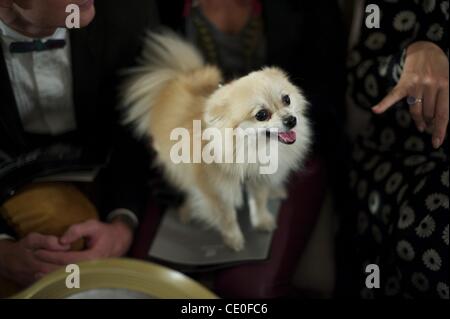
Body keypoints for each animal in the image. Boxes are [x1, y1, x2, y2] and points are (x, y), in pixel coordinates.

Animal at [121, 32, 312, 252]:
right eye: (262, 115)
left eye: (287, 99)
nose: (291, 120)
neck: (252, 148)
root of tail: (176, 78)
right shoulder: (217, 191)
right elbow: (227, 217)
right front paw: (234, 240)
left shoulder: (259, 177)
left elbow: (260, 200)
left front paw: (262, 221)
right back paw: (187, 210)